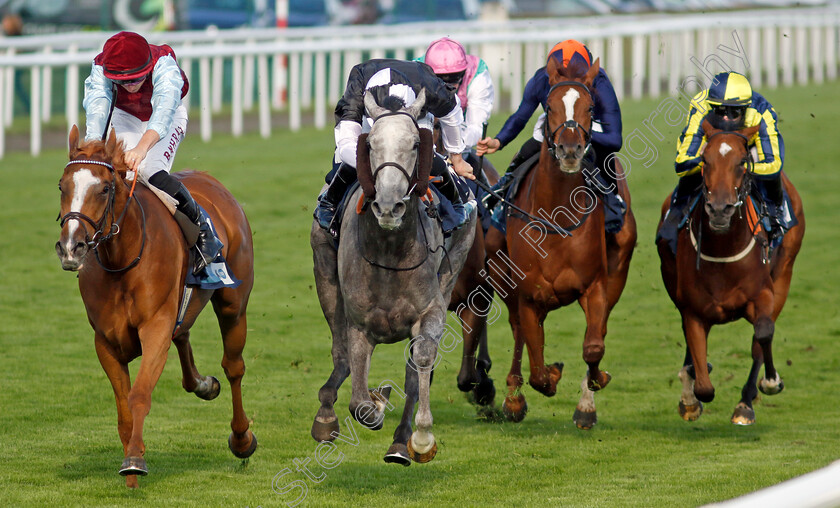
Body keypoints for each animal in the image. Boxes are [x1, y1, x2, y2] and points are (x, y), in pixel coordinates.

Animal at [54, 125, 256, 486]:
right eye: (62, 187)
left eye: (104, 189)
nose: (70, 248)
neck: (122, 259)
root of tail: (211, 181)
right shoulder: (106, 341)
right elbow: (123, 409)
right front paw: (131, 468)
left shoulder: (155, 329)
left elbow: (139, 395)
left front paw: (135, 460)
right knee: (184, 335)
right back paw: (203, 385)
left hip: (234, 304)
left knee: (233, 367)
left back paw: (241, 438)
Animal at [312, 90, 476, 464]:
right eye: (371, 143)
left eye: (415, 143)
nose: (388, 206)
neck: (390, 249)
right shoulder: (360, 324)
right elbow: (358, 399)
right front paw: (374, 403)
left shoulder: (431, 311)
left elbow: (422, 362)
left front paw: (422, 437)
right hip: (325, 276)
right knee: (339, 353)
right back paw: (326, 414)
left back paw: (401, 442)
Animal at [486, 56, 636, 428]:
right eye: (549, 105)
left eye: (590, 107)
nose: (569, 150)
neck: (556, 218)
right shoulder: (528, 294)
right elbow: (538, 368)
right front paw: (546, 378)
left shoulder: (594, 285)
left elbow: (593, 346)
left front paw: (591, 392)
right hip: (500, 273)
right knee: (518, 332)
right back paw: (513, 399)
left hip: (618, 270)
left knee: (598, 331)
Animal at [656, 119, 808, 424]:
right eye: (705, 160)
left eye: (741, 162)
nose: (719, 209)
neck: (723, 249)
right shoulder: (693, 311)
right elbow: (703, 386)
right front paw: (691, 395)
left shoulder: (763, 295)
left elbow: (763, 332)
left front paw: (770, 382)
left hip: (784, 273)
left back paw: (746, 403)